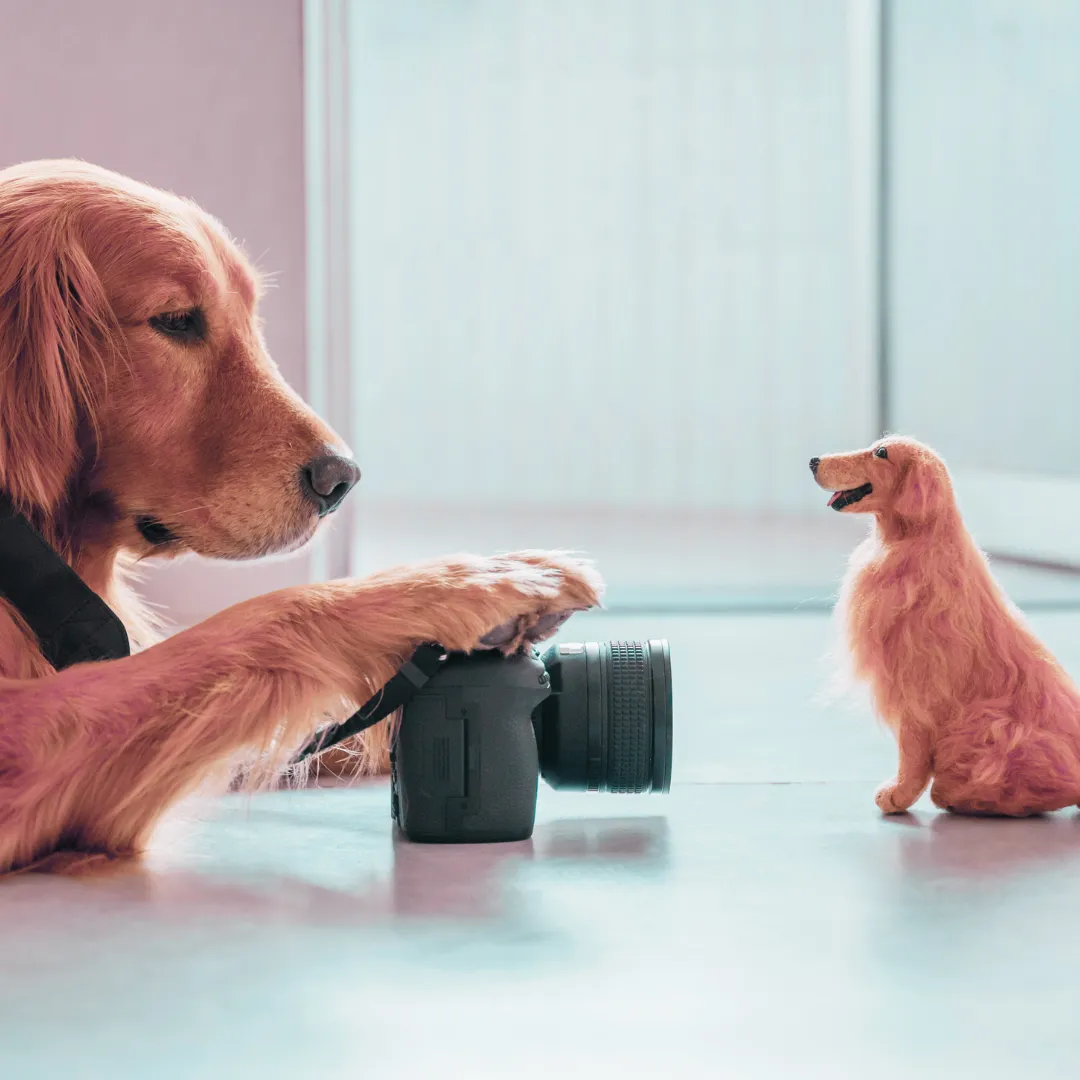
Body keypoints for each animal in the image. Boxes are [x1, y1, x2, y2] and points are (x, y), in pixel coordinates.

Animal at [0, 157, 600, 876]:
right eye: (175, 320)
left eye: (251, 318)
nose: (340, 479)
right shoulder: (21, 745)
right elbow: (250, 623)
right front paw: (466, 584)